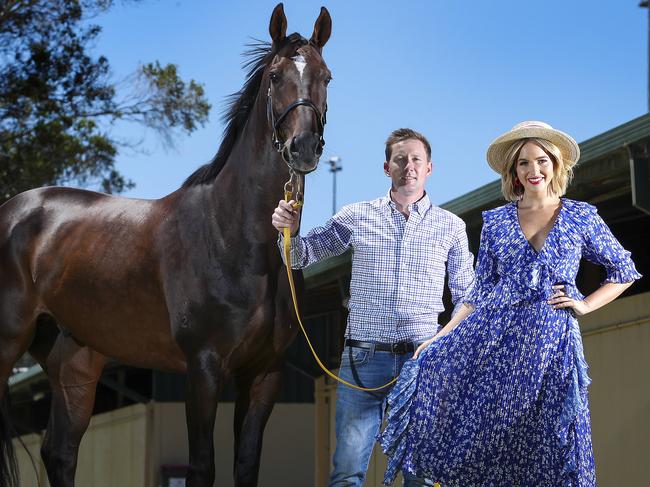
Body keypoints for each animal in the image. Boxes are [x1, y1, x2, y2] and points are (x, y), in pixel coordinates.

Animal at [0, 4, 330, 487]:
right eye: (274, 75)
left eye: (326, 76)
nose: (303, 147)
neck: (235, 238)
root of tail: (14, 209)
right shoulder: (203, 368)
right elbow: (202, 467)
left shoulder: (264, 373)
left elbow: (247, 466)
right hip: (9, 341)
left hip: (75, 360)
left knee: (59, 452)